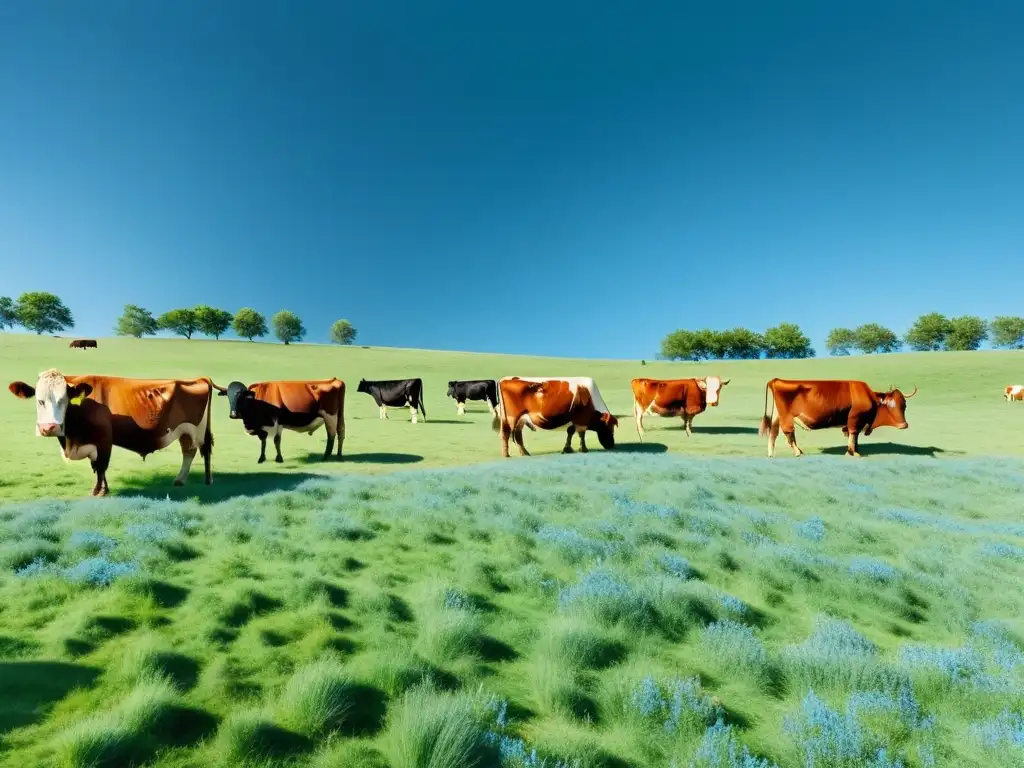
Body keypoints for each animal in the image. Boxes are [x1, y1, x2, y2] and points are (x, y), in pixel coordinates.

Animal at [757, 376, 917, 456]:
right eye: (891, 404)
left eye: (904, 405)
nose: (904, 425)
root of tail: (776, 380)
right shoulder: (854, 419)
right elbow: (853, 434)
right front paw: (852, 453)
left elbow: (855, 437)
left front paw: (855, 450)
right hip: (787, 417)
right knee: (788, 432)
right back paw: (797, 452)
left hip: (778, 415)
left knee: (774, 432)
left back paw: (771, 454)